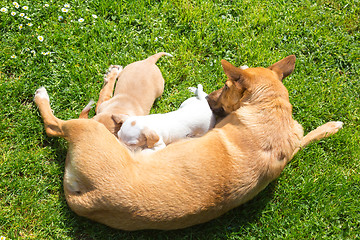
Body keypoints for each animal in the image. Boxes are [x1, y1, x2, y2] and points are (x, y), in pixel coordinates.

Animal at [33, 54, 344, 231]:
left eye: (225, 87)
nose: (209, 100)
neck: (271, 109)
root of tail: (89, 198)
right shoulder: (294, 141)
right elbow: (309, 136)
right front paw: (331, 126)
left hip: (88, 129)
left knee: (55, 125)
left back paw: (45, 96)